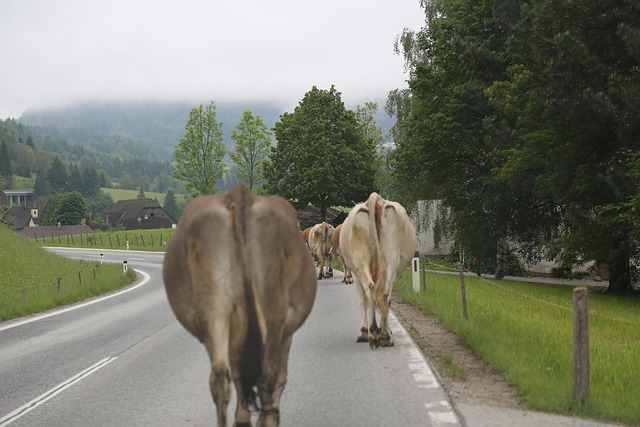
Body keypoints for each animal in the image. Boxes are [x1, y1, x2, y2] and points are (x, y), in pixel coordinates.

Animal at [163, 184, 317, 427]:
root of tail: (238, 195)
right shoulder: (286, 333)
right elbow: (278, 378)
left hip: (214, 305)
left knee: (220, 377)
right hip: (273, 307)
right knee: (268, 376)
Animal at [340, 192, 416, 349]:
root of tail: (376, 198)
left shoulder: (355, 274)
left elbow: (363, 301)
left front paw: (364, 332)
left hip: (362, 260)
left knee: (371, 290)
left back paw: (374, 332)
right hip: (390, 260)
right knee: (383, 293)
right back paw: (384, 336)